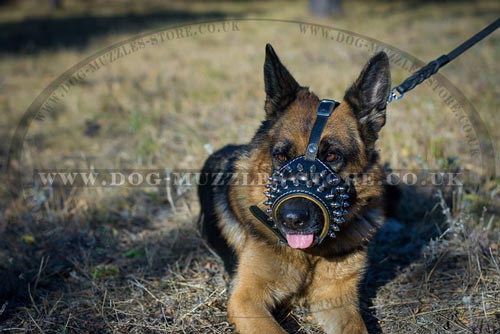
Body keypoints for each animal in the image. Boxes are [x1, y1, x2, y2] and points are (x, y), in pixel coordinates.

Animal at [198, 44, 390, 334]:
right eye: (281, 156)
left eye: (332, 156)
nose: (291, 219)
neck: (311, 255)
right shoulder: (246, 299)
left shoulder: (338, 302)